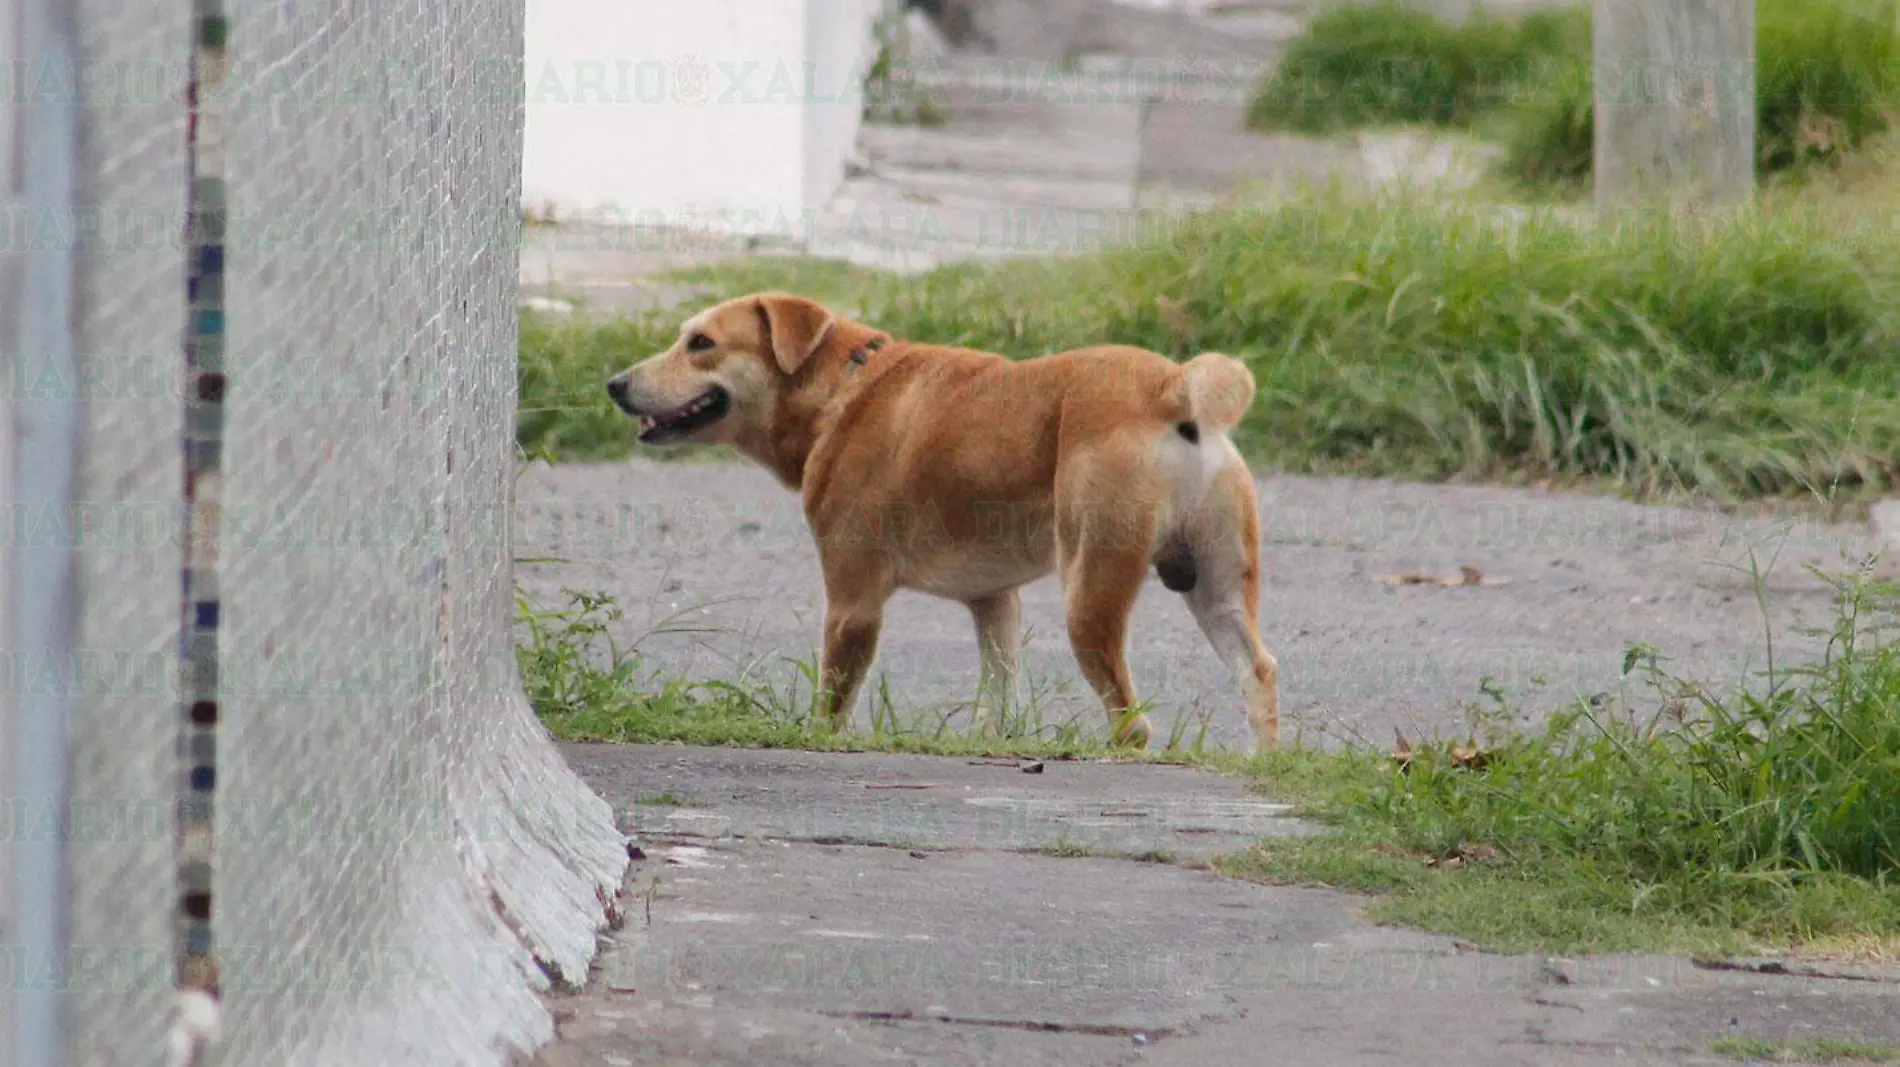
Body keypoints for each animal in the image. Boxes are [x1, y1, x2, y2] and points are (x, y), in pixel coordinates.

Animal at [604, 290, 1276, 751]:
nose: (614, 383)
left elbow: (833, 705)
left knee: (1132, 724)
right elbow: (995, 698)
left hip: (1091, 591)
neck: (842, 391)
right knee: (1258, 670)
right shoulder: (995, 603)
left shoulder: (853, 604)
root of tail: (1172, 384)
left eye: (701, 343)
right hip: (1217, 586)